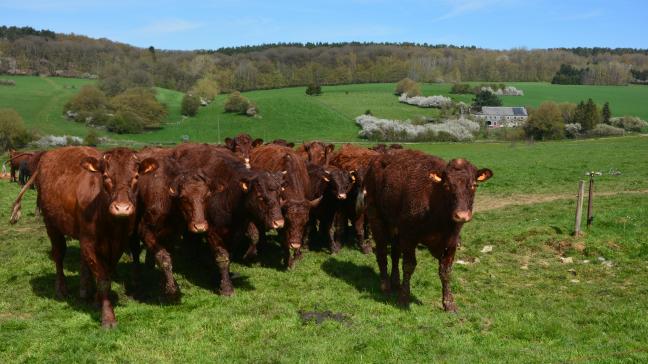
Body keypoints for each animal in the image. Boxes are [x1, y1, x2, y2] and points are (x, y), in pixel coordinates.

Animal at [10, 146, 158, 328]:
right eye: (105, 176)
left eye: (136, 177)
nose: (122, 208)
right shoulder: (88, 242)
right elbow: (103, 280)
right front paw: (108, 317)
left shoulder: (119, 244)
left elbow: (106, 274)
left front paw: (96, 301)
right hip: (51, 224)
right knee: (58, 255)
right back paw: (61, 289)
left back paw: (84, 289)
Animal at [364, 149, 492, 312]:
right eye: (447, 185)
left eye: (474, 185)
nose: (462, 215)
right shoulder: (409, 237)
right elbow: (408, 266)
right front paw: (404, 298)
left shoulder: (451, 242)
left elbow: (445, 271)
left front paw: (449, 303)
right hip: (376, 217)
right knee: (381, 252)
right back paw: (385, 285)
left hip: (395, 226)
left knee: (394, 253)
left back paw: (395, 282)